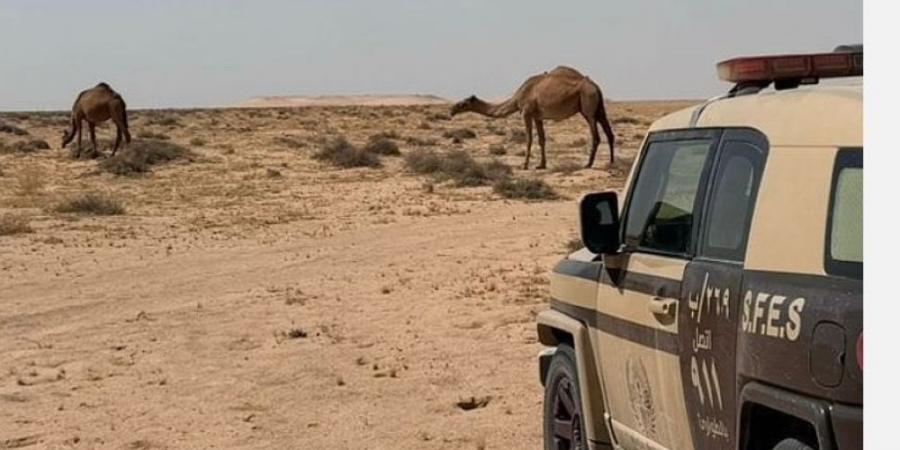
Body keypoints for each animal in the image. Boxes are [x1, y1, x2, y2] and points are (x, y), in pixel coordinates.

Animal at [448, 67, 616, 171]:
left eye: (463, 103)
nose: (451, 110)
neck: (517, 98)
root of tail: (596, 87)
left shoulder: (526, 113)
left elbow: (529, 139)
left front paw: (524, 165)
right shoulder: (537, 116)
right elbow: (542, 139)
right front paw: (541, 165)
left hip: (588, 106)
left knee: (596, 135)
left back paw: (588, 164)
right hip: (599, 108)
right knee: (609, 133)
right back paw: (612, 162)